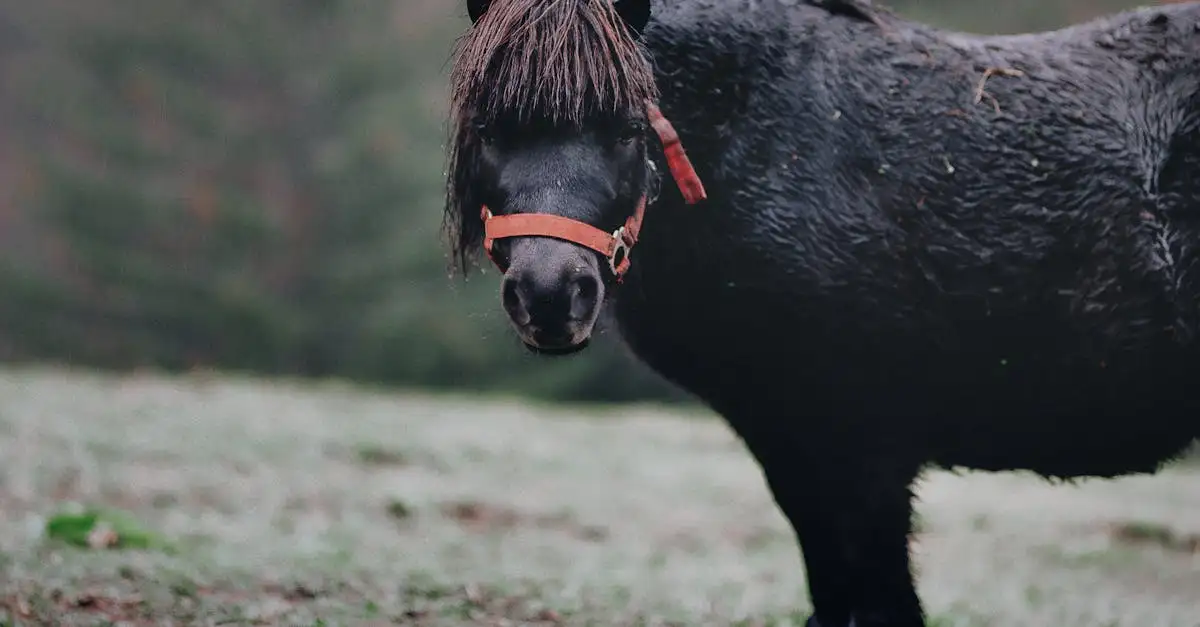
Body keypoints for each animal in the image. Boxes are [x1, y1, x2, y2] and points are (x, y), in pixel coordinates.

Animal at [441, 0, 1200, 624]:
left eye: (630, 129)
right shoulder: (796, 446)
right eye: (488, 128)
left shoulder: (865, 452)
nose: (550, 294)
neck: (771, 142)